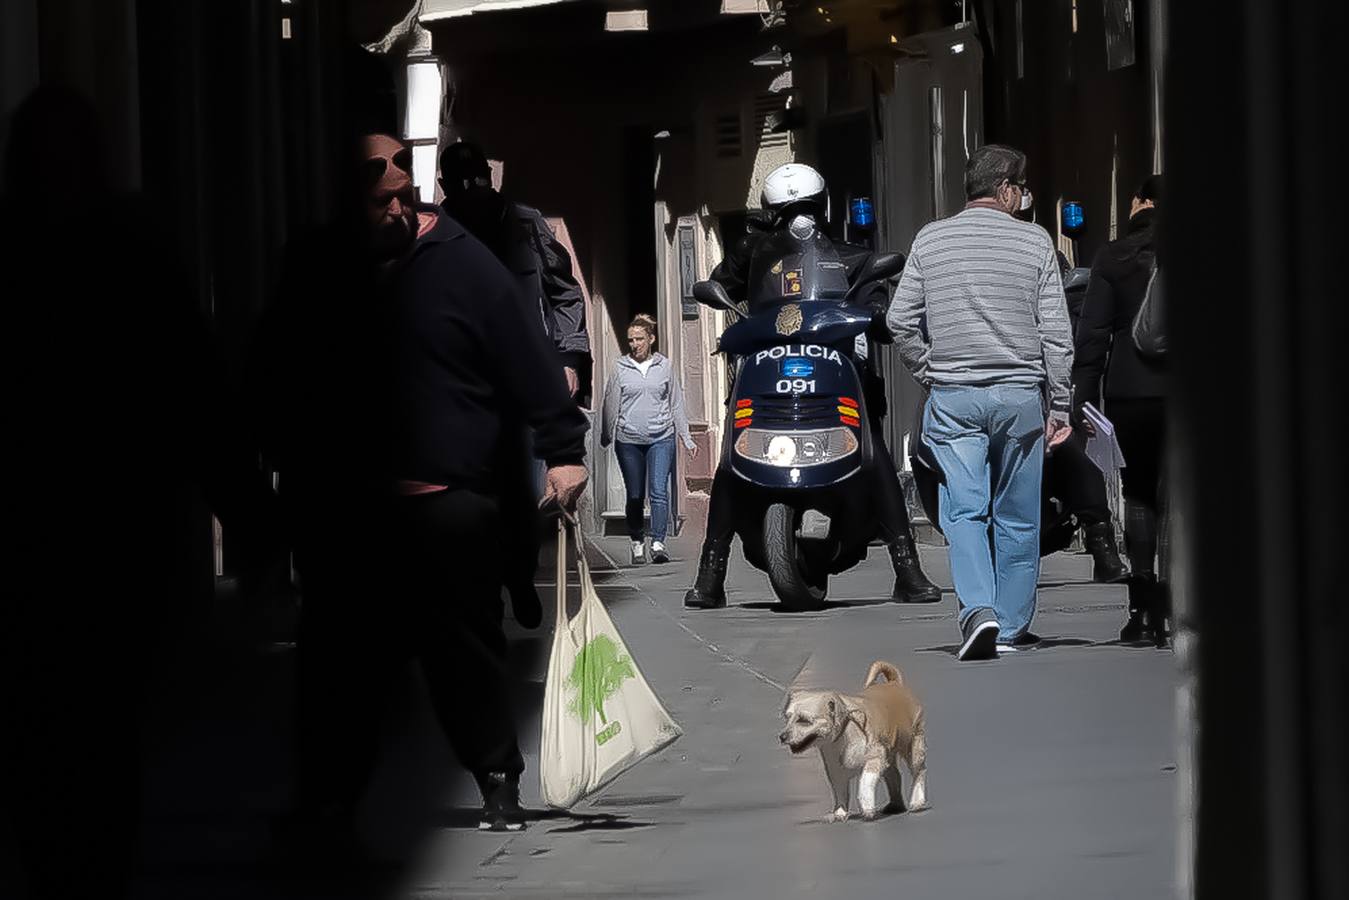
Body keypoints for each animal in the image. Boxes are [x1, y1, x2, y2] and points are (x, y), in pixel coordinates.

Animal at [782, 658, 928, 820]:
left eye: (804, 720)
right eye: (787, 717)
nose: (782, 737)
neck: (846, 731)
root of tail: (894, 683)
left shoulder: (874, 759)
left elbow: (864, 783)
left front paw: (867, 808)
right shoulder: (835, 770)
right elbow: (840, 790)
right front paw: (840, 812)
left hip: (913, 748)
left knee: (919, 772)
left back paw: (917, 801)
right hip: (888, 755)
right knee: (894, 775)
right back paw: (896, 805)